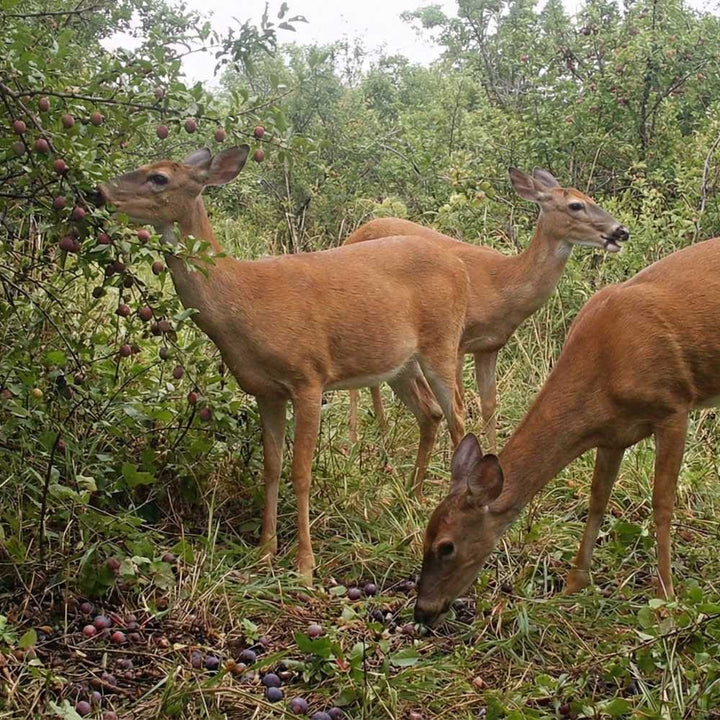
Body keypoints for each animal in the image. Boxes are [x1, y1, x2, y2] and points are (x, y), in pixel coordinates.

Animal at [98, 146, 470, 584]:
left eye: (159, 177)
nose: (99, 189)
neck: (245, 301)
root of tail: (460, 267)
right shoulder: (265, 391)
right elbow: (271, 467)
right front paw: (265, 551)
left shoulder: (309, 377)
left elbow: (301, 472)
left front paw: (305, 564)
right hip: (399, 364)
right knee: (430, 413)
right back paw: (410, 498)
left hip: (442, 343)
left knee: (459, 416)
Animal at [343, 168, 630, 455]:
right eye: (575, 205)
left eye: (590, 197)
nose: (621, 231)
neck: (501, 283)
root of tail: (353, 234)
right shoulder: (458, 343)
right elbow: (458, 402)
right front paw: (449, 453)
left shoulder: (489, 347)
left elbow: (489, 405)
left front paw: (491, 452)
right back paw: (355, 439)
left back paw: (382, 433)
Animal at [413, 236, 720, 625]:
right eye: (425, 534)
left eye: (446, 547)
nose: (422, 611)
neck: (605, 367)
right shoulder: (614, 434)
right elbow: (597, 500)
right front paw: (573, 585)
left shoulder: (674, 407)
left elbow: (662, 505)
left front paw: (666, 598)